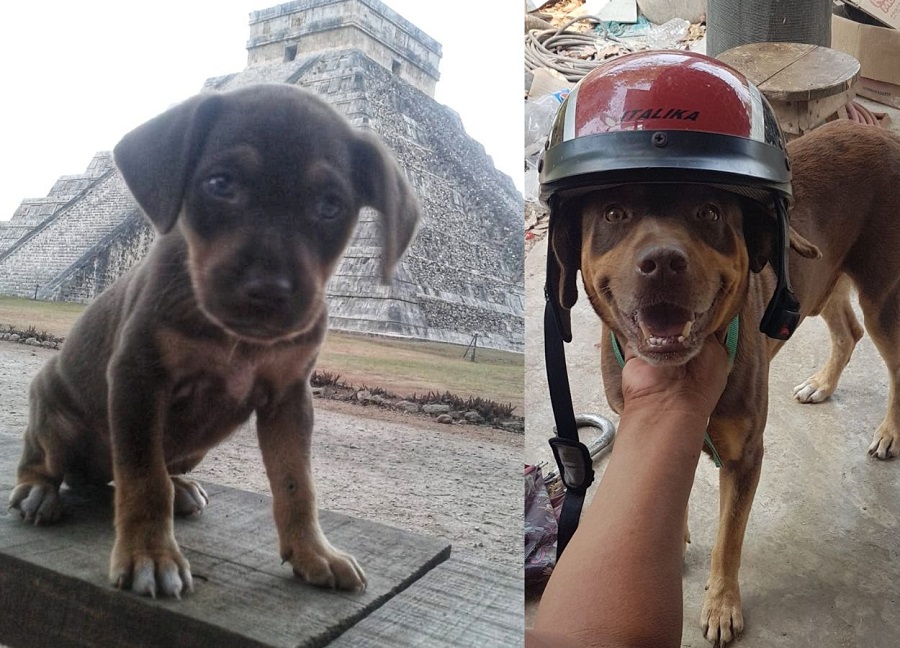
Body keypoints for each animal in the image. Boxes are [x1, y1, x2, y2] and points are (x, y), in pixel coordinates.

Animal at [7, 83, 422, 600]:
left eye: (331, 206)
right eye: (221, 184)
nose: (268, 291)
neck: (237, 338)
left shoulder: (290, 397)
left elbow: (297, 484)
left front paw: (313, 552)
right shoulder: (138, 379)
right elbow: (143, 480)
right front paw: (150, 555)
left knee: (116, 480)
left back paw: (179, 489)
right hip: (53, 405)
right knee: (46, 455)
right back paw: (39, 489)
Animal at [548, 120, 900, 644]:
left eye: (708, 212)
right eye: (614, 212)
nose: (663, 262)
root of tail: (880, 132)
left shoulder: (744, 456)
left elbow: (728, 539)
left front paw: (720, 604)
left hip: (884, 297)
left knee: (890, 358)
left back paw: (889, 432)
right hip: (822, 278)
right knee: (847, 330)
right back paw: (821, 383)